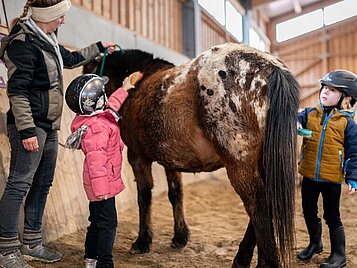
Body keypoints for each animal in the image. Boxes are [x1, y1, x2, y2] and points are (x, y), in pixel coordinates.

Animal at [82, 43, 298, 266]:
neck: (140, 83)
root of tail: (270, 67)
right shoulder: (170, 160)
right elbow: (175, 193)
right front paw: (180, 236)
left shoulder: (137, 157)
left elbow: (144, 196)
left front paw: (142, 241)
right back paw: (244, 258)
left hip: (239, 165)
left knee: (257, 205)